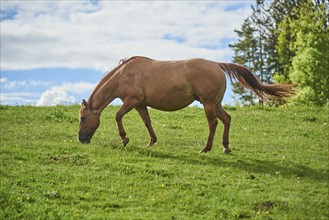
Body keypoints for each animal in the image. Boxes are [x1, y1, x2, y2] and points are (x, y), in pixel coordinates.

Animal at [78, 55, 294, 154]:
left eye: (82, 117)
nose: (81, 139)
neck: (124, 74)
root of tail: (217, 64)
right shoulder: (140, 105)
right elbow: (147, 122)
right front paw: (151, 141)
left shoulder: (132, 101)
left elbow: (118, 116)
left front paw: (124, 139)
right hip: (216, 104)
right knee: (227, 119)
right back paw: (225, 147)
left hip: (208, 104)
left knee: (213, 123)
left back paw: (206, 148)